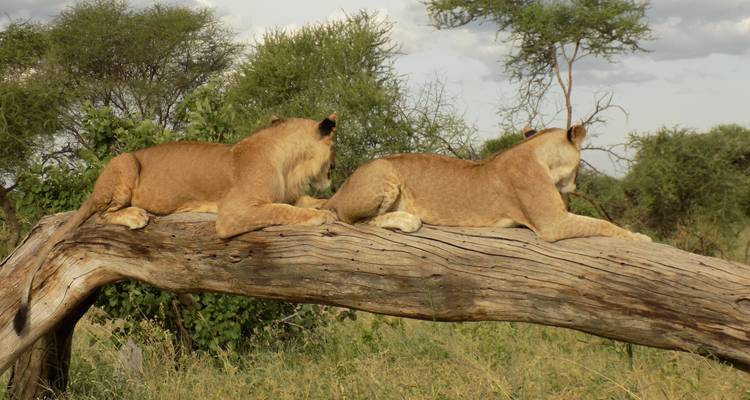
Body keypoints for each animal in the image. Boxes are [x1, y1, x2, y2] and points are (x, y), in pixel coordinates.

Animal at [14, 114, 338, 333]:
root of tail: (95, 187)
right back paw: (135, 215)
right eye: (333, 150)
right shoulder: (233, 214)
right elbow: (283, 211)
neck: (289, 163)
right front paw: (320, 216)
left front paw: (328, 205)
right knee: (102, 214)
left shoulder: (286, 195)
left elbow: (301, 201)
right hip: (125, 163)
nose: (333, 170)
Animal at [323, 124, 651, 242]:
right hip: (384, 169)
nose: (573, 185)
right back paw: (406, 219)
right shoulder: (552, 224)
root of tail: (341, 188)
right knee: (353, 221)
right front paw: (639, 237)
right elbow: (602, 224)